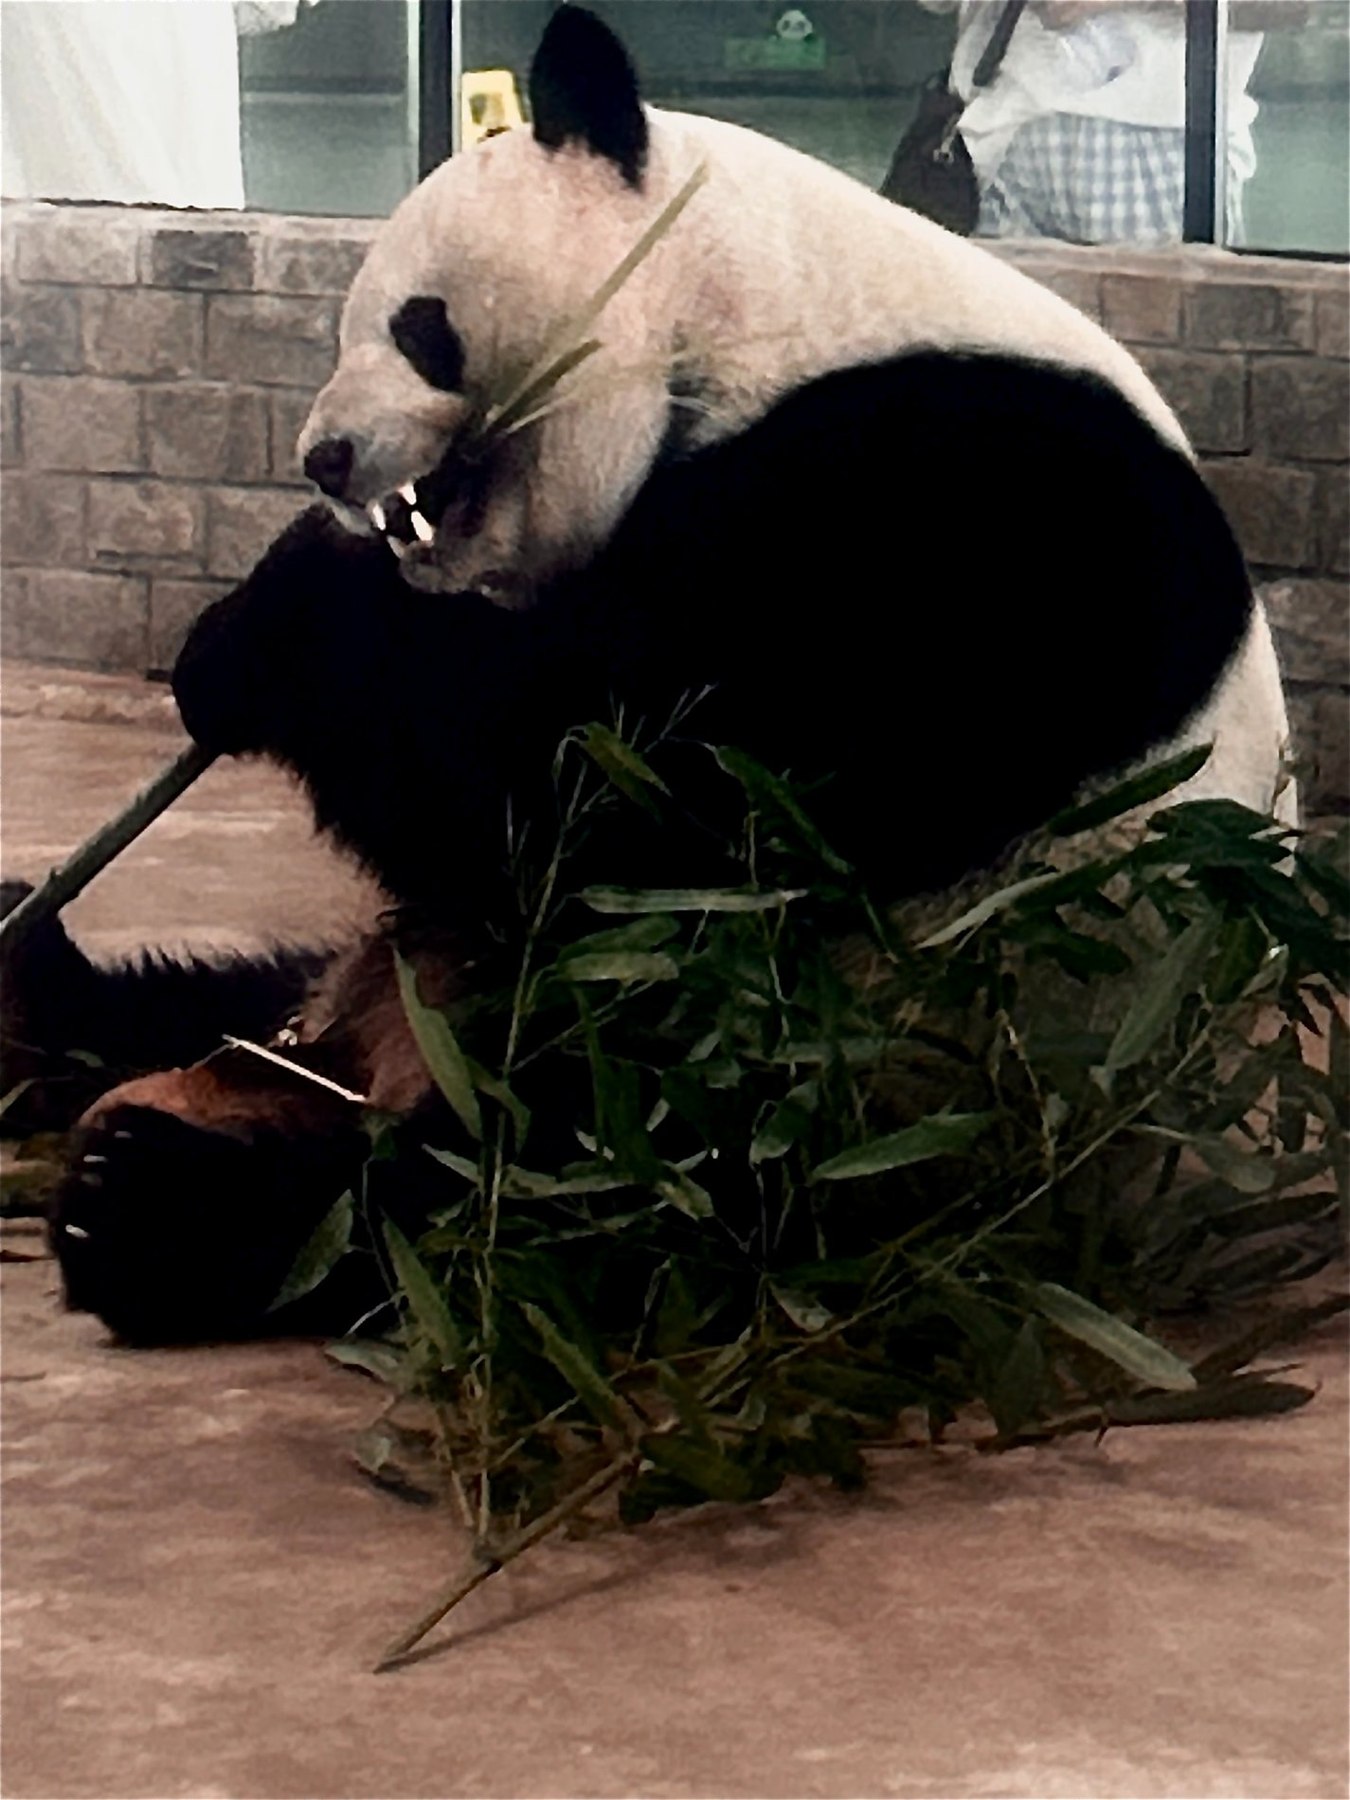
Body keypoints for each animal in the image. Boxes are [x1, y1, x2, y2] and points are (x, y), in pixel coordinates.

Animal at [9, 4, 1293, 1345]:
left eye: (420, 326)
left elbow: (612, 791)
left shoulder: (961, 508)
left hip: (837, 1083)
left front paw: (270, 636)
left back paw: (151, 1210)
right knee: (232, 998)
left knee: (540, 1182)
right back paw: (35, 997)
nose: (325, 458)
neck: (753, 306)